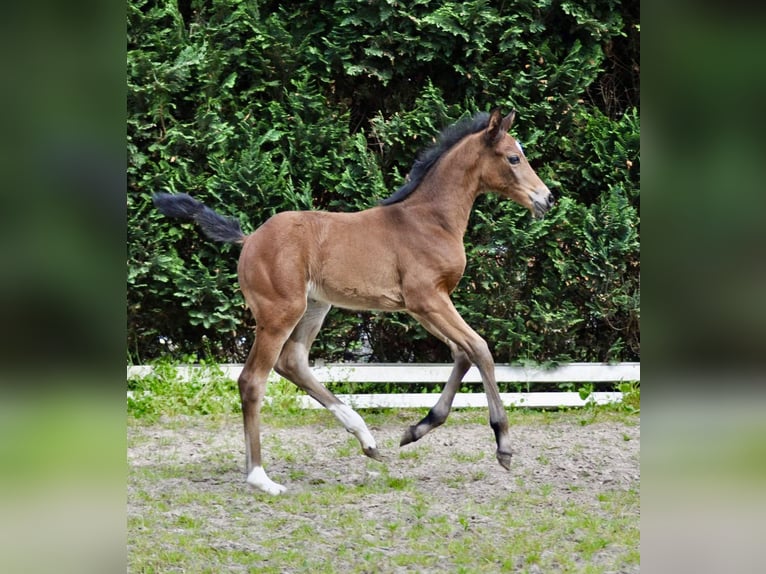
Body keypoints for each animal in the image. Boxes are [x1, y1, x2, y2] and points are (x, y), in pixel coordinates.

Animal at [153, 108, 556, 496]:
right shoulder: (429, 298)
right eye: (513, 158)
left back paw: (365, 438)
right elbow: (480, 349)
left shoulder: (423, 305)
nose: (546, 198)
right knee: (253, 380)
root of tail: (249, 238)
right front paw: (503, 445)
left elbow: (462, 353)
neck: (429, 220)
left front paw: (417, 429)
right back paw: (260, 478)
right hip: (279, 312)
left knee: (292, 362)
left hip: (315, 307)